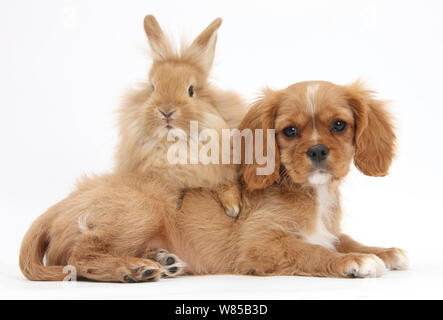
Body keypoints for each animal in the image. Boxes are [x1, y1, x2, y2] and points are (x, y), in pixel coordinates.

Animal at [114, 14, 248, 215]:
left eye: (191, 90)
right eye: (152, 88)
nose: (166, 111)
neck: (177, 144)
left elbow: (227, 183)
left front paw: (233, 208)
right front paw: (175, 202)